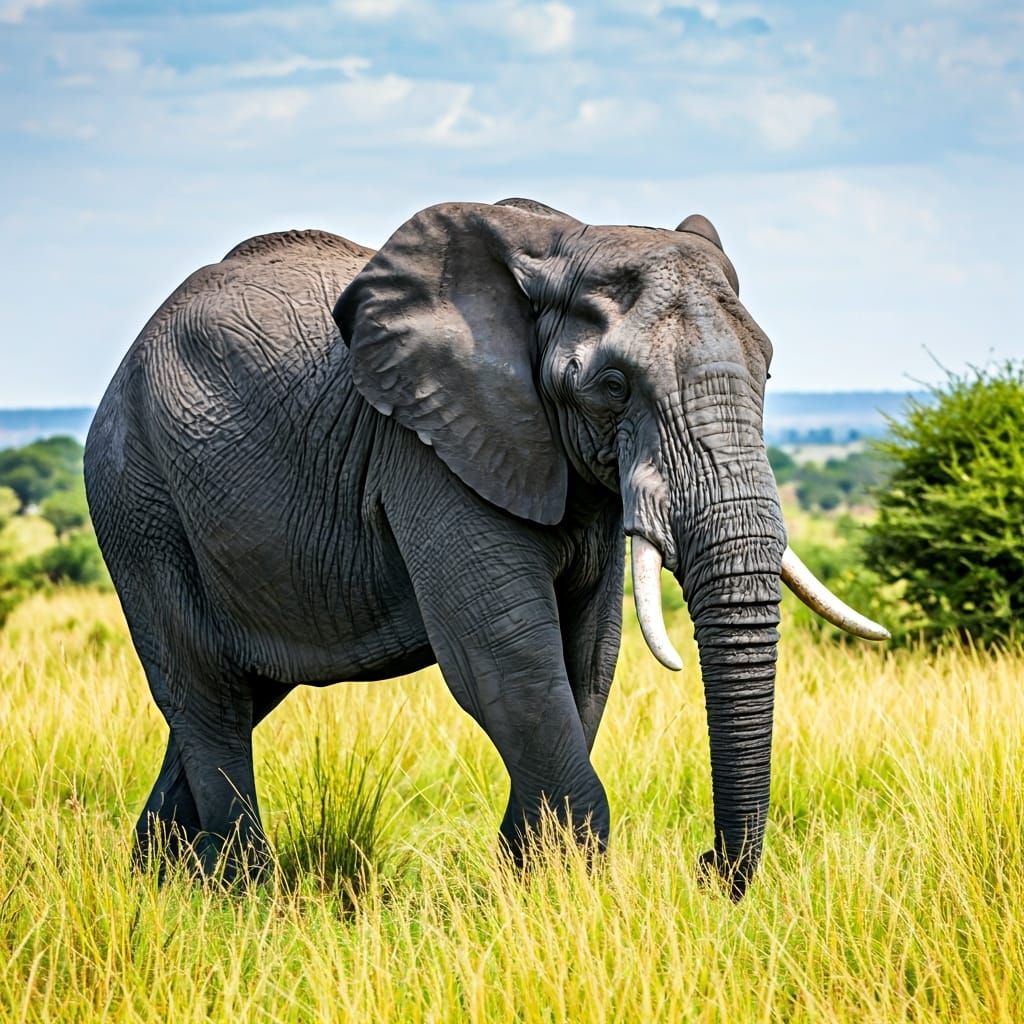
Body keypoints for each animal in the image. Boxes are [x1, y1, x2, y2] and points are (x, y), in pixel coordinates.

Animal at [84, 197, 887, 899]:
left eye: (768, 371)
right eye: (613, 386)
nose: (706, 868)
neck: (562, 245)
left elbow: (586, 659)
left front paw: (528, 878)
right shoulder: (430, 447)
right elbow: (506, 660)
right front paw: (562, 895)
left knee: (236, 692)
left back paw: (159, 882)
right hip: (139, 500)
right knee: (207, 693)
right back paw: (245, 896)